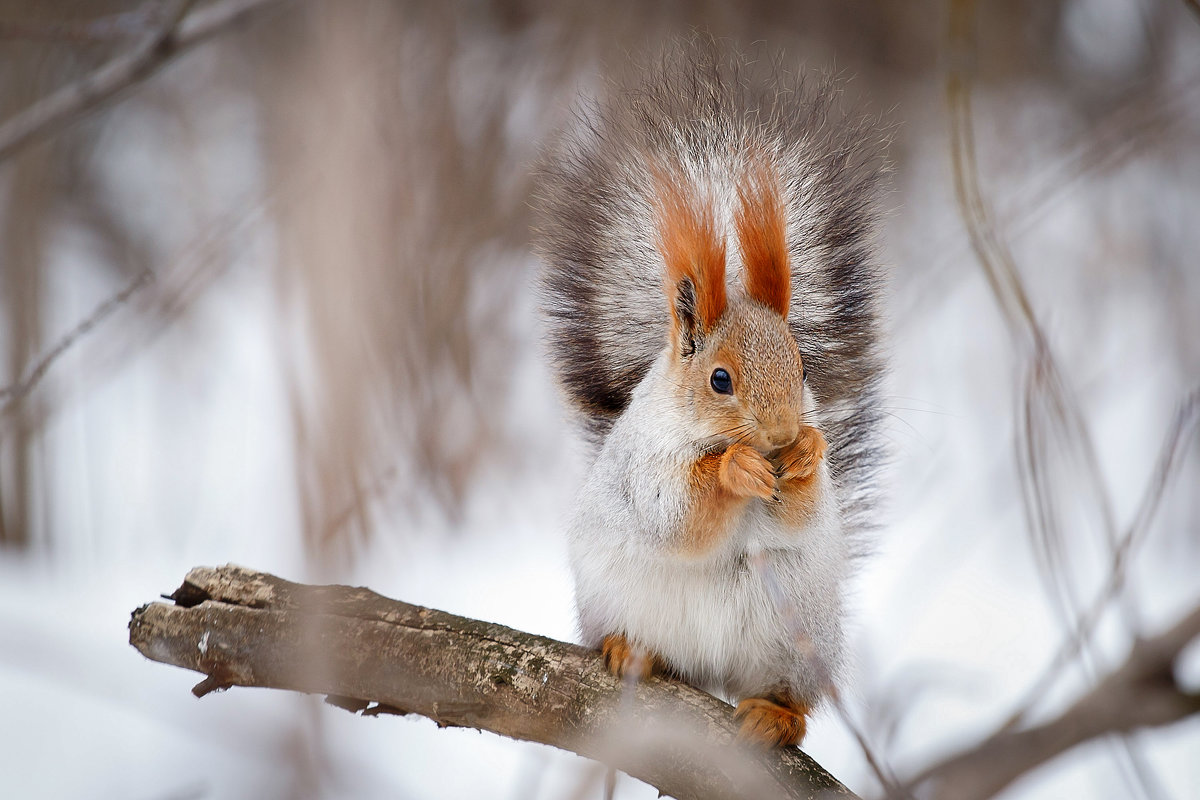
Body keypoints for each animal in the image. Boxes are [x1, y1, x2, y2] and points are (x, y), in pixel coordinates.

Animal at [530, 40, 888, 748]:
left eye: (802, 366)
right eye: (720, 379)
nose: (781, 433)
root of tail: (712, 674)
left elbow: (799, 516)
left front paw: (806, 454)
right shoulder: (645, 464)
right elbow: (676, 514)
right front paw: (735, 468)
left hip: (794, 638)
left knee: (786, 694)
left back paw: (775, 715)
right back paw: (629, 650)